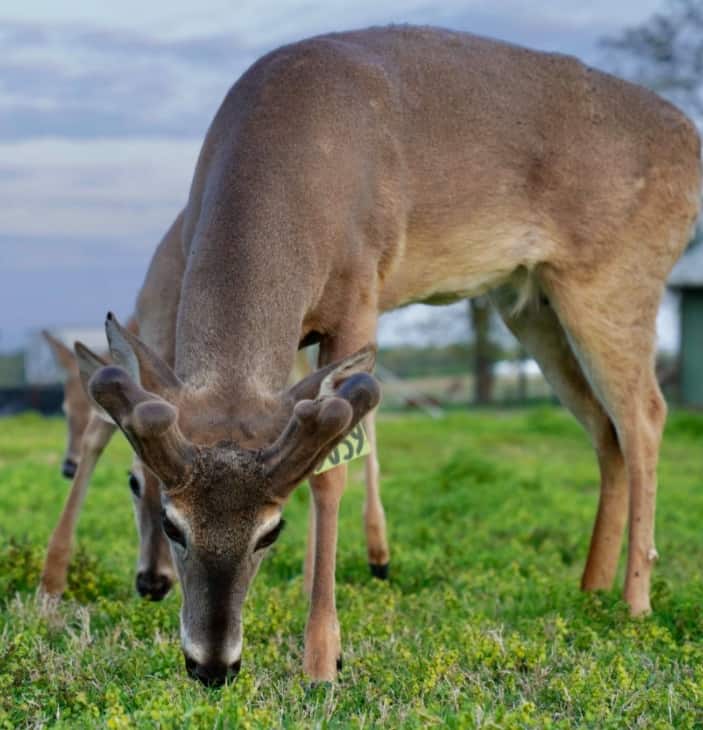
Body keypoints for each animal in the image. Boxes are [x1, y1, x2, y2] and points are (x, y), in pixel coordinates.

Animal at [76, 26, 701, 687]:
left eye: (270, 532)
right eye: (173, 520)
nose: (212, 664)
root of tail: (691, 139)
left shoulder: (359, 293)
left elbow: (331, 470)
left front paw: (323, 656)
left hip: (615, 277)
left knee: (645, 415)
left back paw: (636, 601)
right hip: (531, 303)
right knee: (605, 429)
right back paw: (590, 588)